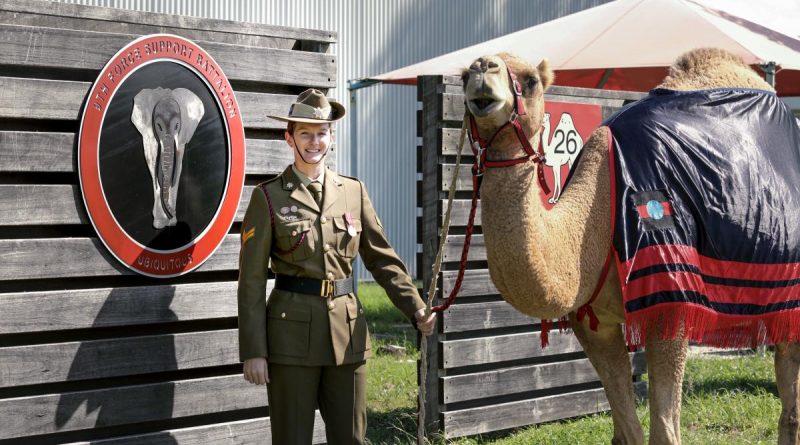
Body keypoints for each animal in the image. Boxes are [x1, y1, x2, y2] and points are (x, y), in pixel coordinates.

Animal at [460, 48, 800, 444]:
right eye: (464, 75)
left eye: (529, 80)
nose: (483, 68)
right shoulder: (594, 323)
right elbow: (624, 430)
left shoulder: (670, 301)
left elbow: (664, 431)